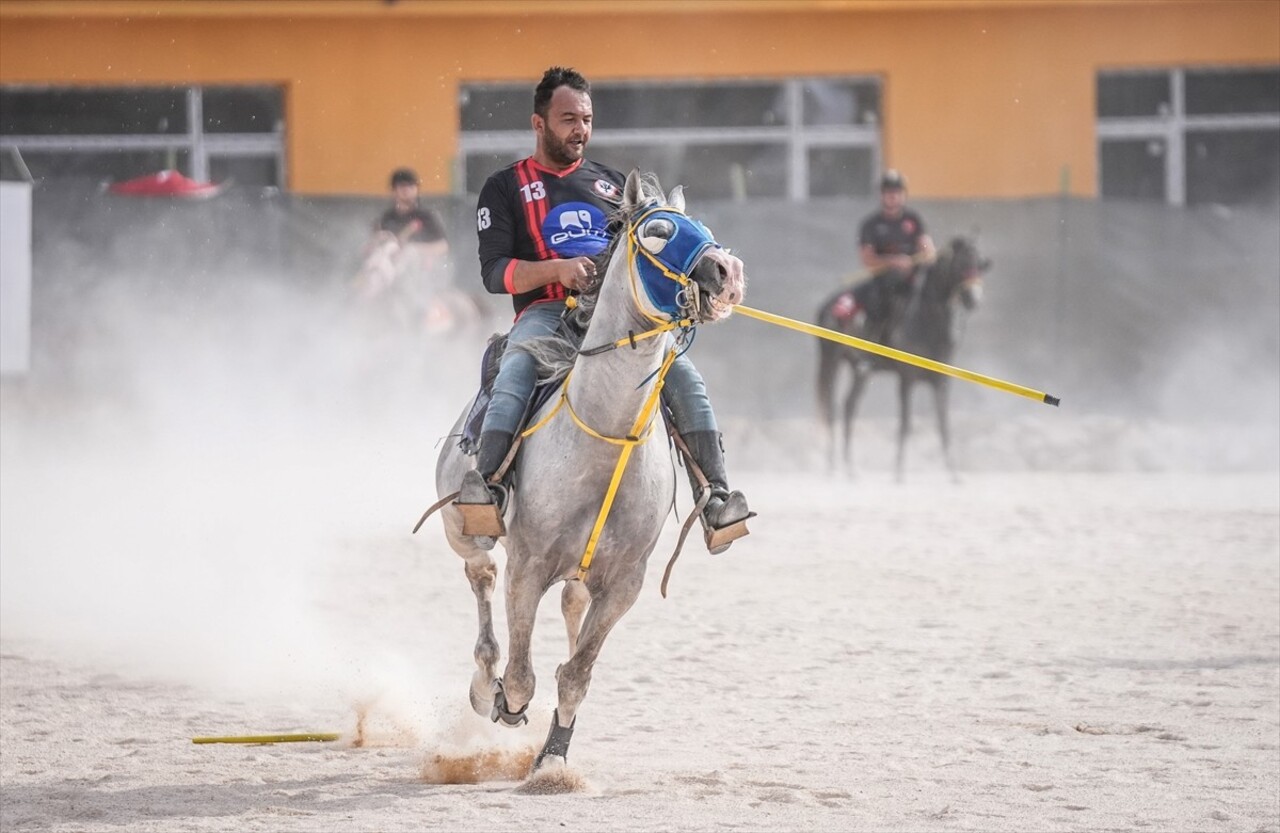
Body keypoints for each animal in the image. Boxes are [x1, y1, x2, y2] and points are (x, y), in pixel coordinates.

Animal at [427, 168, 742, 777]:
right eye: (660, 231)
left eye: (703, 226)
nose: (729, 273)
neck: (603, 434)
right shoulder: (527, 567)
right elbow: (520, 678)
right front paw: (502, 703)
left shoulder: (624, 583)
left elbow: (575, 674)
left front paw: (552, 759)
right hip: (462, 530)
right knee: (481, 577)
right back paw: (482, 684)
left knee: (569, 606)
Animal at [819, 238, 988, 478]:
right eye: (961, 263)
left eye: (981, 264)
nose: (973, 297)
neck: (927, 319)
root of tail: (827, 305)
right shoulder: (907, 378)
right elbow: (906, 424)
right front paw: (899, 473)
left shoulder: (942, 381)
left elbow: (943, 424)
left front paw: (954, 475)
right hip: (831, 360)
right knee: (830, 409)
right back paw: (832, 467)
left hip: (859, 372)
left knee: (849, 407)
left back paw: (850, 470)